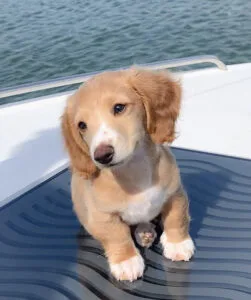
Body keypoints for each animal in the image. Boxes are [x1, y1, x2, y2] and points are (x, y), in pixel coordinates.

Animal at [61, 68, 195, 282]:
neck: (134, 170)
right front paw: (126, 261)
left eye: (119, 108)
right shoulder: (103, 216)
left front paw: (178, 244)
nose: (102, 156)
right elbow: (117, 236)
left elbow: (177, 219)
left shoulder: (175, 194)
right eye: (81, 125)